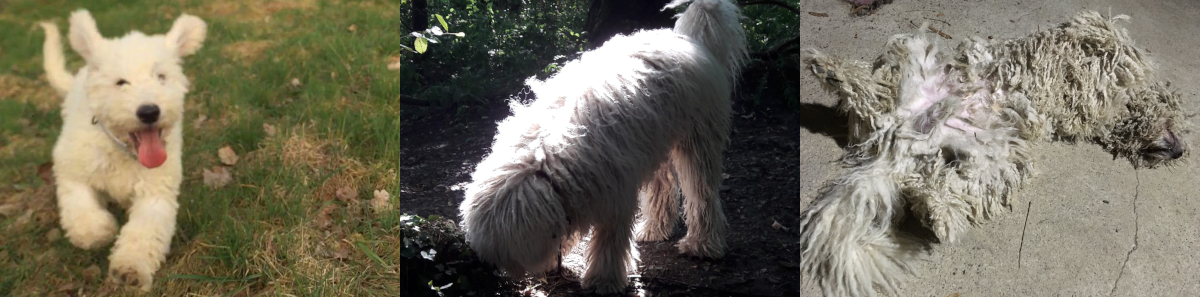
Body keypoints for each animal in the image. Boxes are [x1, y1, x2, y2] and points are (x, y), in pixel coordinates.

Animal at [40, 9, 206, 292]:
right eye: (120, 82)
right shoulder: (71, 170)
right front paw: (98, 230)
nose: (149, 112)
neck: (122, 149)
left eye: (161, 77)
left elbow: (144, 232)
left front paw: (131, 268)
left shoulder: (156, 193)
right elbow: (80, 206)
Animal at [456, 0, 744, 292]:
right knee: (661, 188)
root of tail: (690, 40)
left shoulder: (616, 192)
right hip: (654, 145)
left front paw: (603, 280)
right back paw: (653, 229)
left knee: (701, 191)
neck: (542, 161)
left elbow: (610, 241)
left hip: (698, 141)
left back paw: (702, 244)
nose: (491, 270)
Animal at [801, 10, 1185, 295]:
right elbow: (1106, 38)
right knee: (874, 92)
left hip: (994, 157)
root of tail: (901, 140)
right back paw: (832, 71)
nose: (1180, 152)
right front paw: (1120, 54)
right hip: (913, 54)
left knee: (940, 182)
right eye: (1180, 119)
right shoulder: (1084, 54)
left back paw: (935, 210)